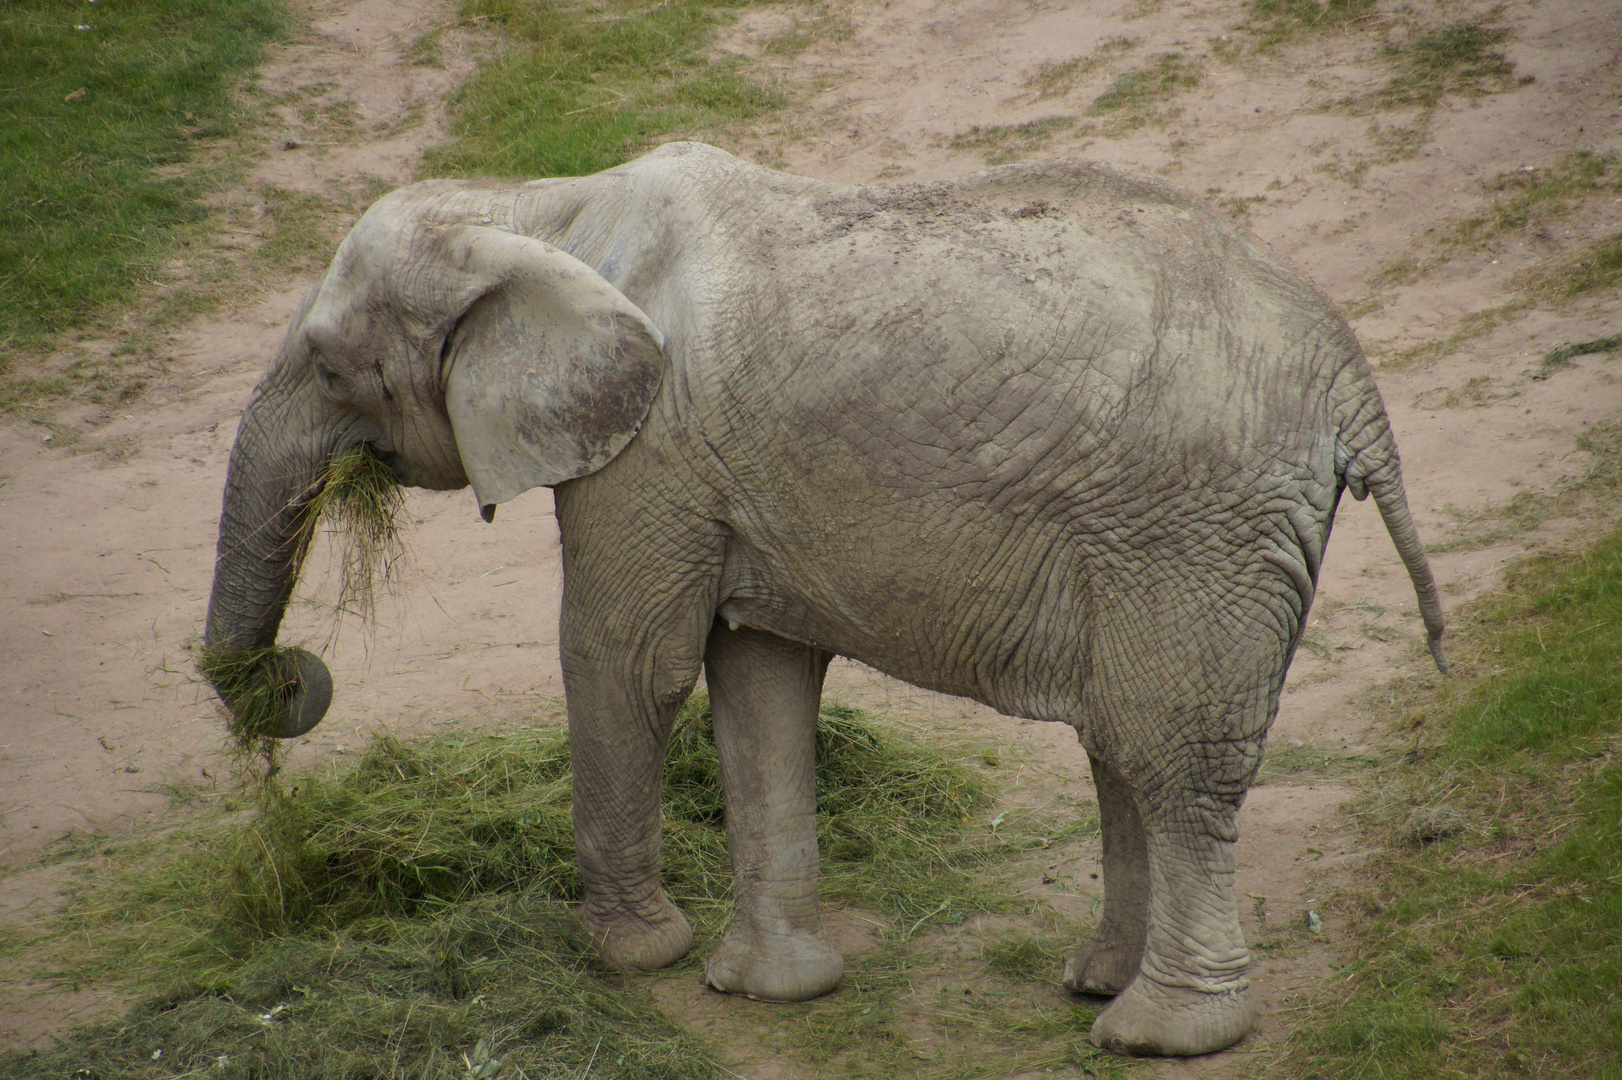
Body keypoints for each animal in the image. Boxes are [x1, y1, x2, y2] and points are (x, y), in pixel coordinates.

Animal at [202, 141, 1446, 1050]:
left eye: (330, 367)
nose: (291, 676)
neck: (537, 211)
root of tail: (1346, 371)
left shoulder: (648, 458)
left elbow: (626, 662)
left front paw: (628, 957)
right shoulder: (719, 481)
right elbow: (757, 682)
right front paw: (768, 991)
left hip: (1193, 529)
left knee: (1167, 753)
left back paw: (1158, 1035)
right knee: (1121, 748)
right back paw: (1096, 985)